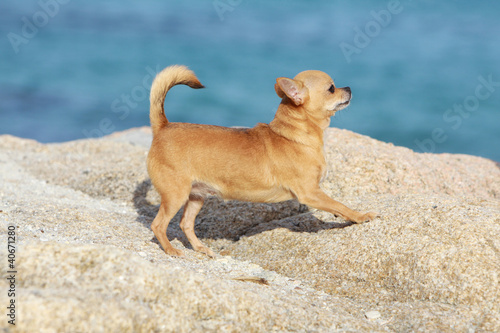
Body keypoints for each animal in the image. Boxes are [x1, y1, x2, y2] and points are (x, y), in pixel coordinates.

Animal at [146, 65, 376, 256]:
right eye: (331, 88)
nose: (349, 87)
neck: (294, 134)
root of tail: (164, 127)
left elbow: (336, 206)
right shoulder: (310, 193)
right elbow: (340, 205)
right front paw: (360, 216)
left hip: (196, 196)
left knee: (185, 224)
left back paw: (201, 248)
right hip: (176, 195)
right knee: (158, 224)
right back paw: (171, 250)